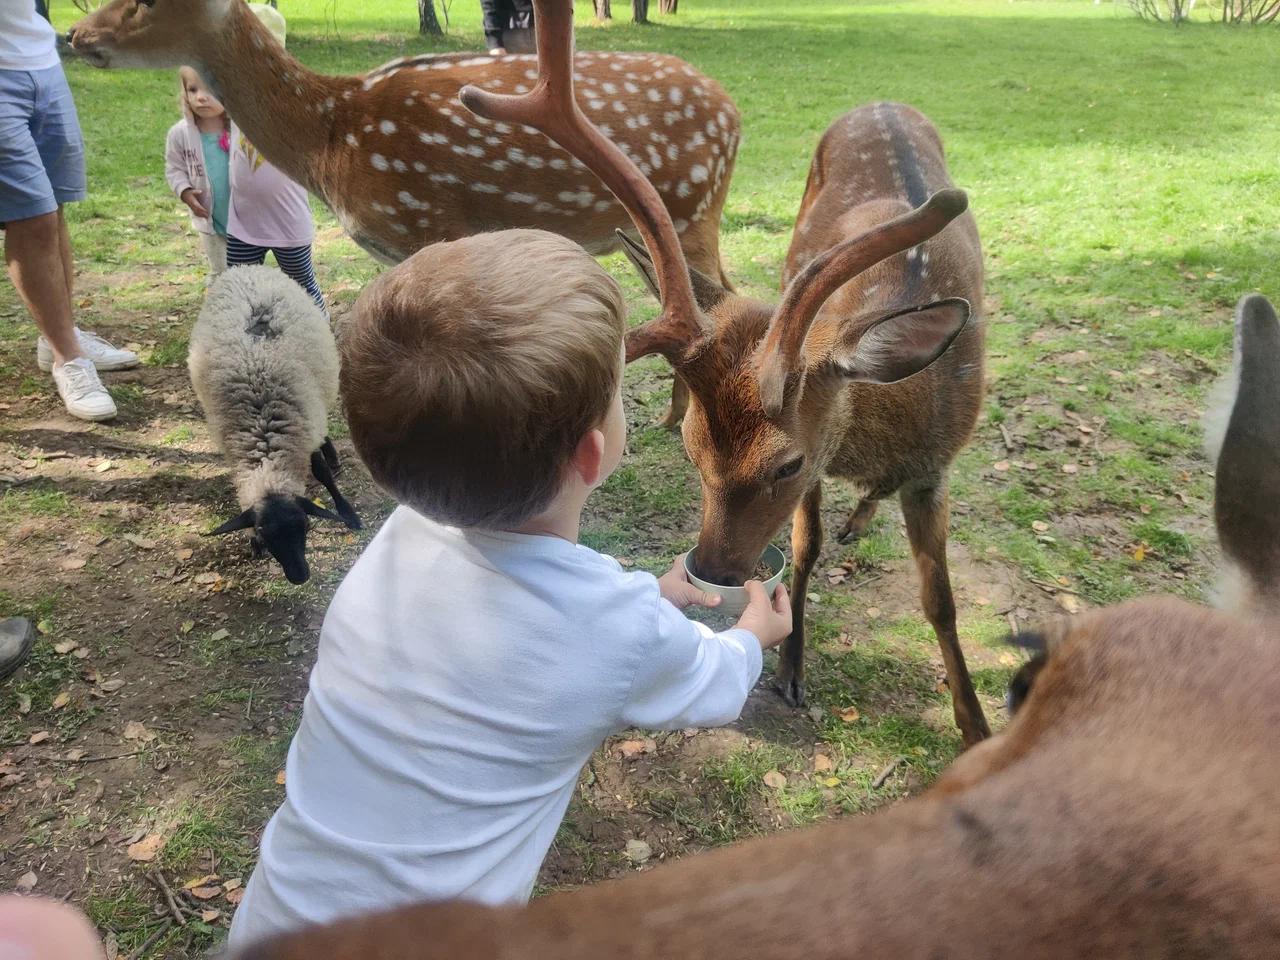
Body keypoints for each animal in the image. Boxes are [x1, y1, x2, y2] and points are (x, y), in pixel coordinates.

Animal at [62, 0, 742, 427]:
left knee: (718, 297)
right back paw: (673, 418)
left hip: (690, 207)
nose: (76, 35)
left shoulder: (427, 221)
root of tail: (734, 116)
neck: (330, 140)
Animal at [185, 271, 358, 586]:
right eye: (265, 535)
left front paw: (348, 513)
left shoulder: (306, 426)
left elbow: (322, 473)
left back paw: (332, 453)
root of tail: (244, 270)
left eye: (306, 527)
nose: (300, 576)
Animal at [232, 295, 1280, 960]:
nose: (713, 568)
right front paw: (786, 654)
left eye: (781, 462)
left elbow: (929, 586)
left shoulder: (913, 471)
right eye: (691, 441)